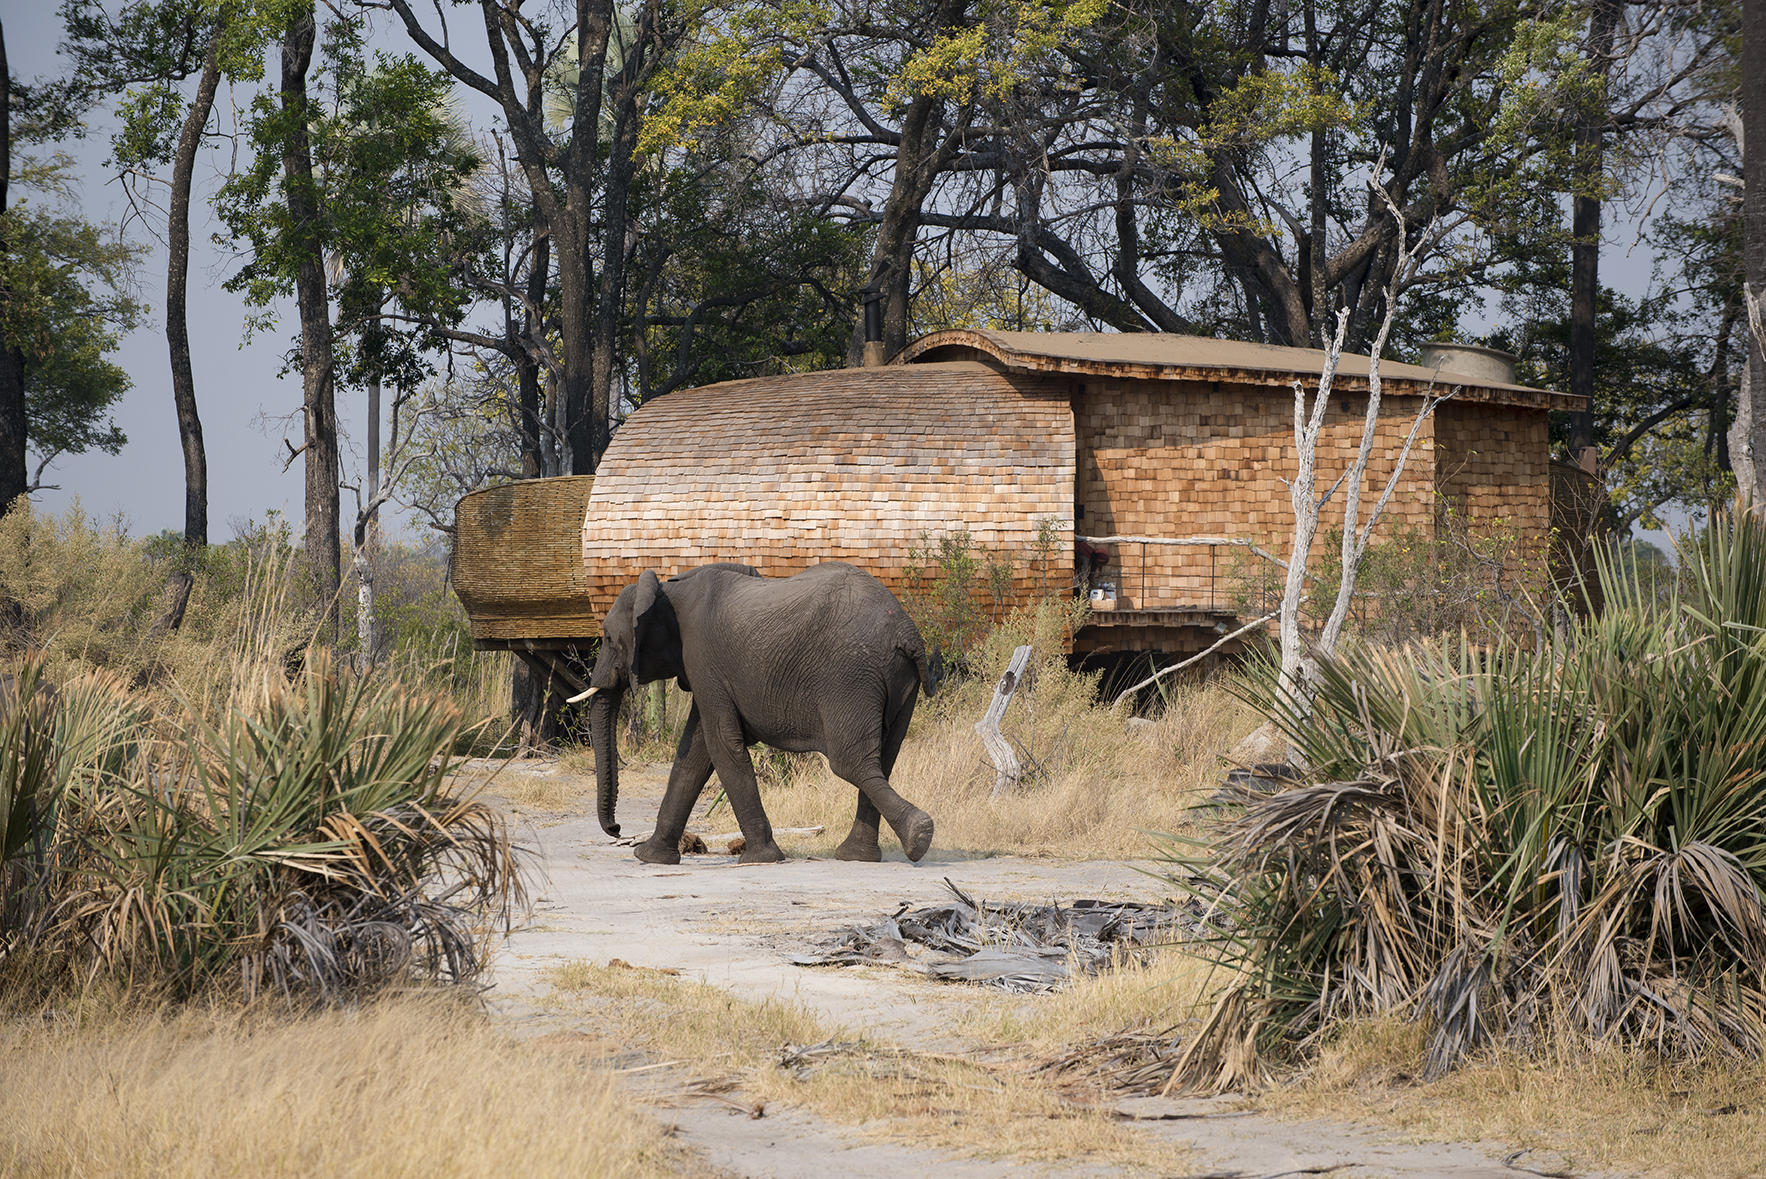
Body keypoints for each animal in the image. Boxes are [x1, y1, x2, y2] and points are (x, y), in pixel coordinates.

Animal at [576, 561, 939, 866]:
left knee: (851, 763)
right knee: (884, 759)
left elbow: (721, 744)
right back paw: (861, 855)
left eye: (608, 638)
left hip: (851, 676)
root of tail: (907, 632)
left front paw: (760, 859)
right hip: (898, 680)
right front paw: (650, 858)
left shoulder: (704, 660)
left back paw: (919, 836)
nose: (617, 829)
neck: (668, 588)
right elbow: (694, 754)